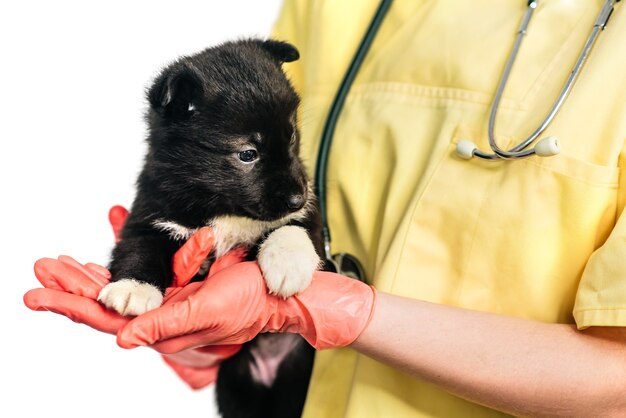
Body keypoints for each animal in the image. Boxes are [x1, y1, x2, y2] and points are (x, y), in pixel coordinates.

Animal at [98, 39, 324, 418]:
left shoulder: (310, 217)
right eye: (247, 153)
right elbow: (140, 247)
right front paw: (133, 288)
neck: (223, 206)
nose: (297, 196)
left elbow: (291, 229)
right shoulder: (153, 212)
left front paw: (288, 264)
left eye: (292, 135)